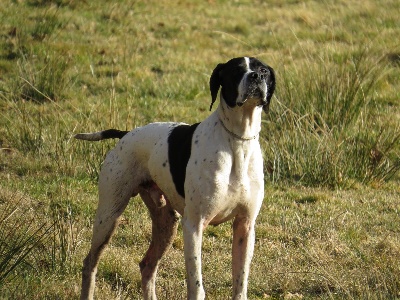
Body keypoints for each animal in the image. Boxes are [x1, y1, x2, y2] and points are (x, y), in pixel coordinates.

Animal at [75, 56, 276, 300]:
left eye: (263, 71)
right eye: (236, 70)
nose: (256, 77)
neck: (237, 141)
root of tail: (126, 134)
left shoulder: (245, 227)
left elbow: (240, 284)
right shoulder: (194, 226)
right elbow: (197, 287)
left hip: (166, 223)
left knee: (147, 265)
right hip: (108, 217)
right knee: (90, 263)